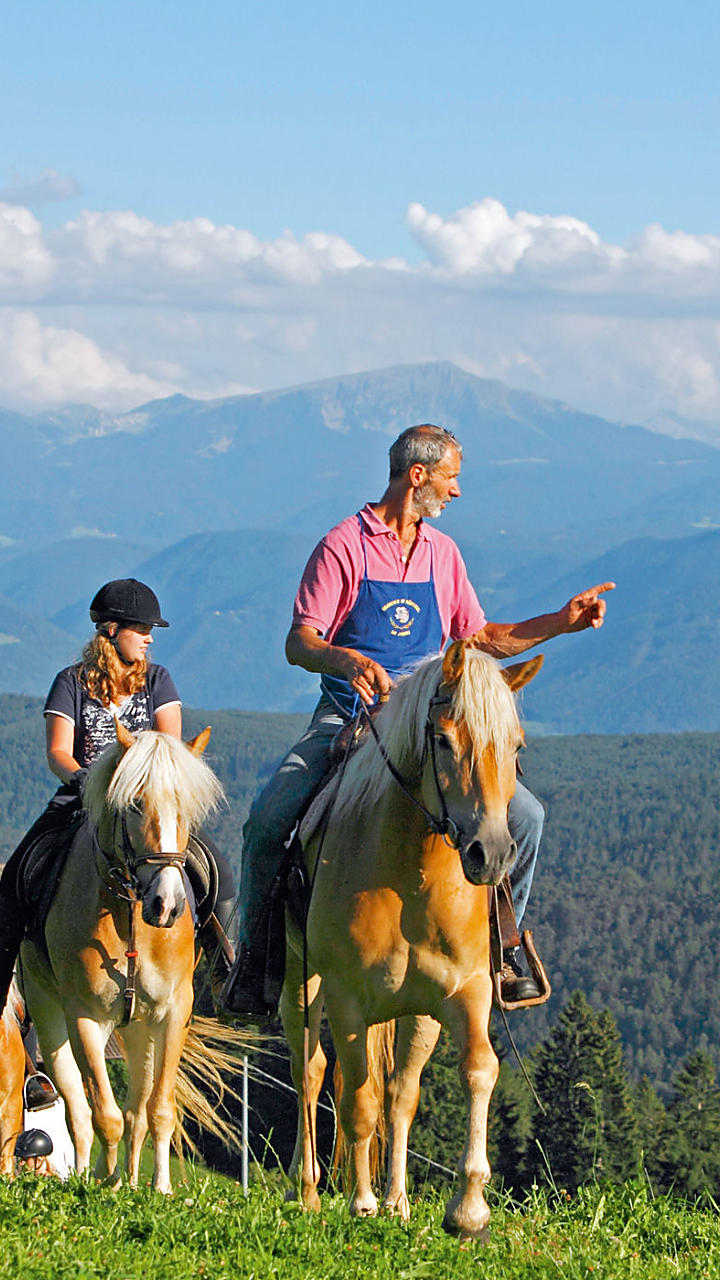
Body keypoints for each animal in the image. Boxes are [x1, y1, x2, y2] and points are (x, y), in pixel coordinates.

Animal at [18, 721, 224, 1187]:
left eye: (188, 809)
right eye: (133, 805)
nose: (166, 905)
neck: (129, 915)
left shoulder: (171, 1013)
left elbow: (158, 1110)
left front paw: (159, 1188)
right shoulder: (84, 1017)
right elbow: (102, 1114)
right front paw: (103, 1185)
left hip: (138, 1029)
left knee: (137, 1112)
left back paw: (130, 1180)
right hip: (49, 1012)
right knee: (77, 1109)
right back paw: (87, 1175)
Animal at [280, 645, 538, 1233]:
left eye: (516, 747)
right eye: (442, 739)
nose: (490, 853)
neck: (411, 876)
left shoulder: (465, 993)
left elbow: (477, 1071)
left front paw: (468, 1208)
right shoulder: (348, 1000)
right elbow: (358, 1099)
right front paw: (361, 1201)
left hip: (417, 1012)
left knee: (400, 1092)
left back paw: (397, 1200)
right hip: (301, 982)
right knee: (310, 1071)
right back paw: (308, 1191)